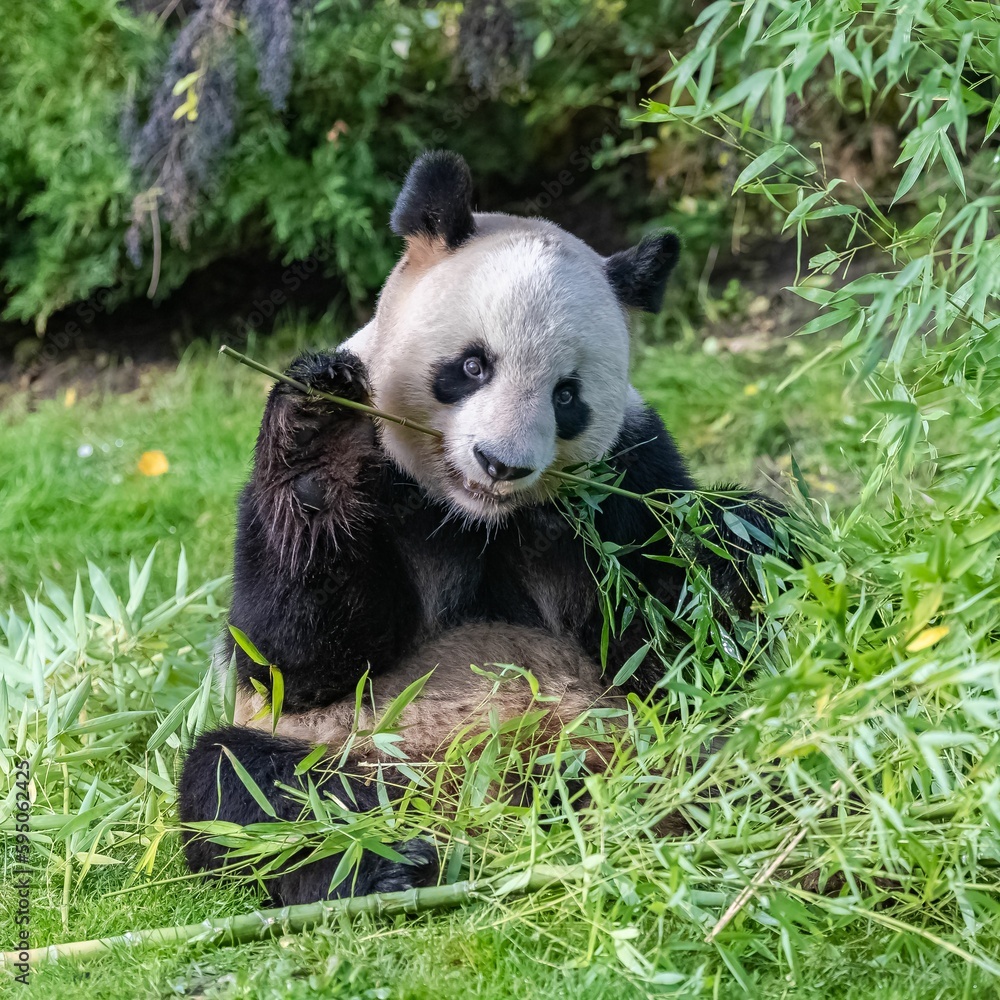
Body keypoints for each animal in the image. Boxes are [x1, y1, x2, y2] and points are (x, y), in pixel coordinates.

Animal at [178, 150, 779, 906]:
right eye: (471, 365)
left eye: (566, 395)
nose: (501, 464)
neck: (476, 518)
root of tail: (479, 792)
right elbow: (292, 658)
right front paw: (320, 434)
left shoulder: (630, 471)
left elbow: (664, 631)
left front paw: (728, 554)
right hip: (354, 749)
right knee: (245, 786)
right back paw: (384, 863)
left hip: (625, 732)